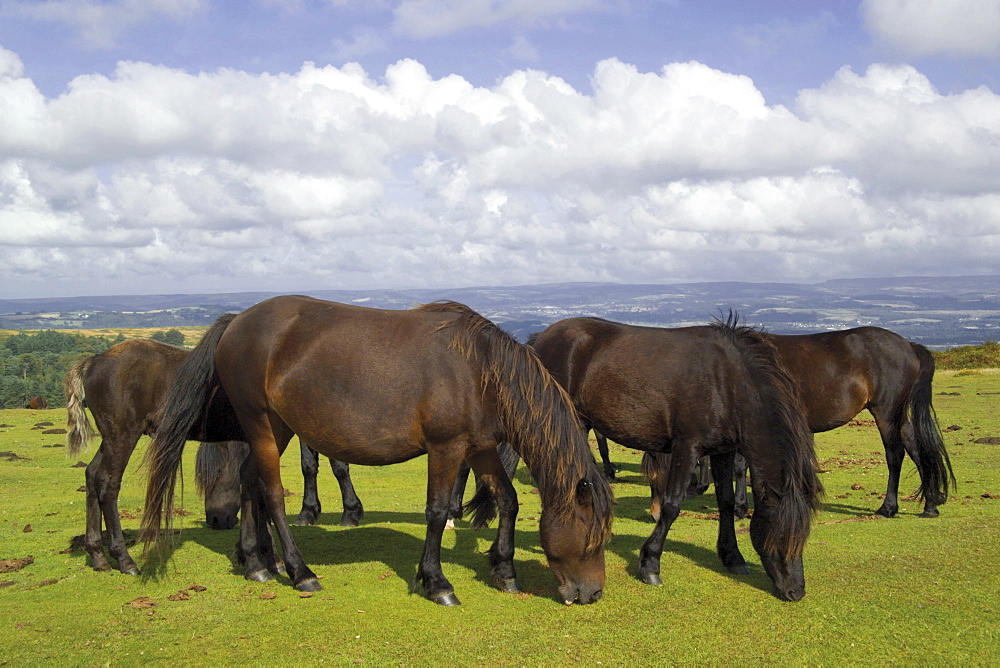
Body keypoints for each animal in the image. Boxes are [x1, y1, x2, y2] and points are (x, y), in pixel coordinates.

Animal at [140, 298, 608, 604]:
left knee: (249, 480)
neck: (479, 369)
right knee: (270, 494)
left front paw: (504, 569)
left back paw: (257, 562)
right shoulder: (446, 448)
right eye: (591, 537)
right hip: (260, 423)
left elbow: (507, 501)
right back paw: (299, 572)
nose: (592, 594)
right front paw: (436, 582)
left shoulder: (479, 448)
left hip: (277, 428)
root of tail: (237, 320)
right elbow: (437, 511)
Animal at [528, 316, 824, 604]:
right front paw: (650, 564)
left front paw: (732, 557)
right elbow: (671, 506)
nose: (796, 592)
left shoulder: (723, 451)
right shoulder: (687, 447)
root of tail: (541, 338)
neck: (726, 382)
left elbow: (726, 502)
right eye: (782, 534)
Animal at [640, 326, 952, 520]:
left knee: (895, 454)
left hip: (886, 413)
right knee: (916, 448)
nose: (654, 514)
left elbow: (741, 467)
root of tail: (909, 345)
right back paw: (930, 503)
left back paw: (888, 507)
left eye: (657, 474)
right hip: (898, 416)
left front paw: (741, 507)